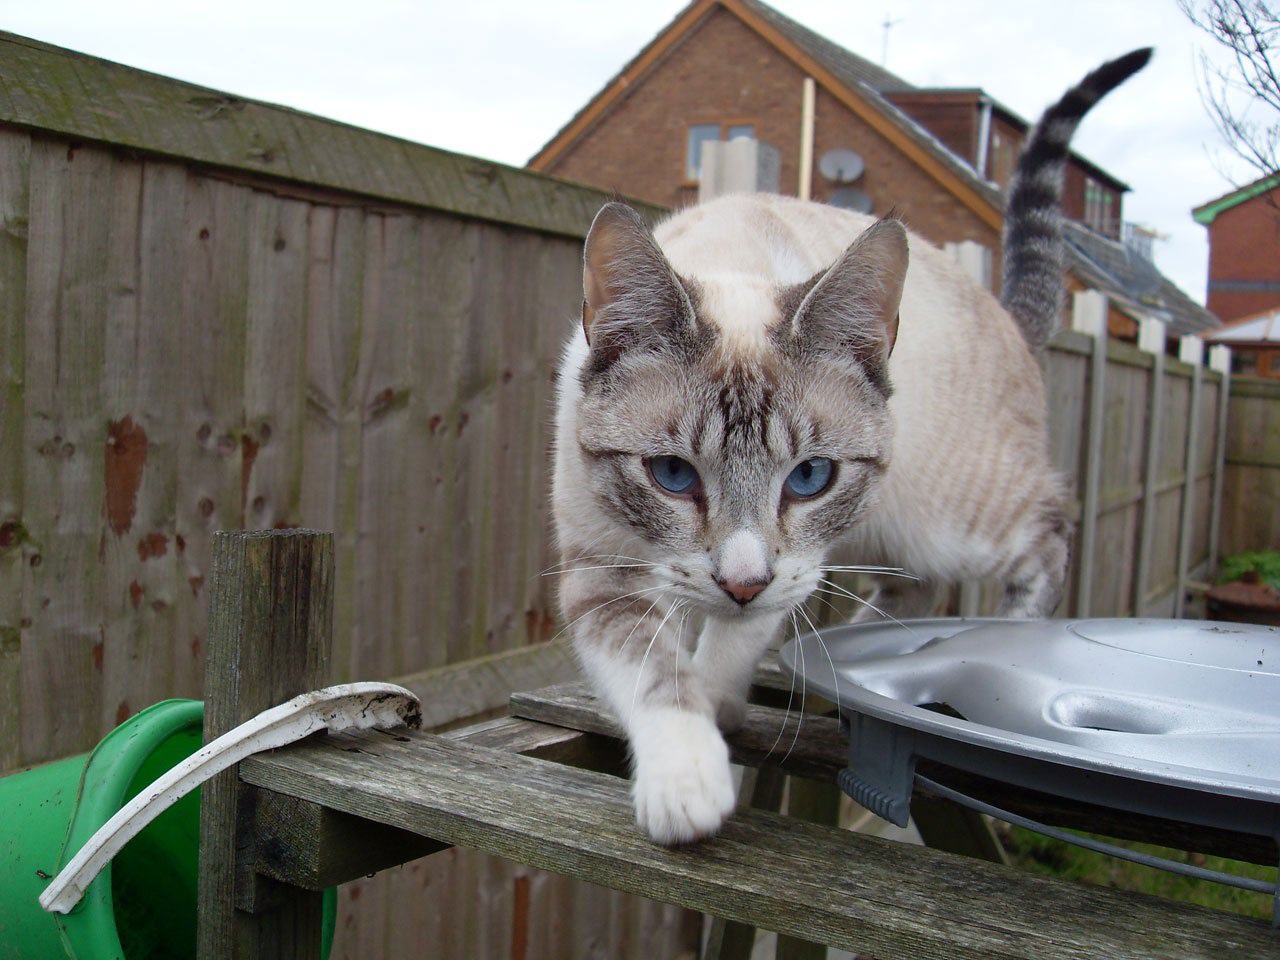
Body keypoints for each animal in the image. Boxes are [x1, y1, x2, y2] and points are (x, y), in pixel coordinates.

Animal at [547, 48, 1152, 844]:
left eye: (810, 478)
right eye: (673, 474)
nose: (741, 582)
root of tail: (1006, 313)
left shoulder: (789, 570)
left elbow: (722, 654)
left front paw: (718, 716)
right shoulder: (602, 570)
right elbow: (655, 673)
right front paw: (687, 783)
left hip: (952, 522)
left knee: (1046, 537)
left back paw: (1001, 632)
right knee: (915, 589)